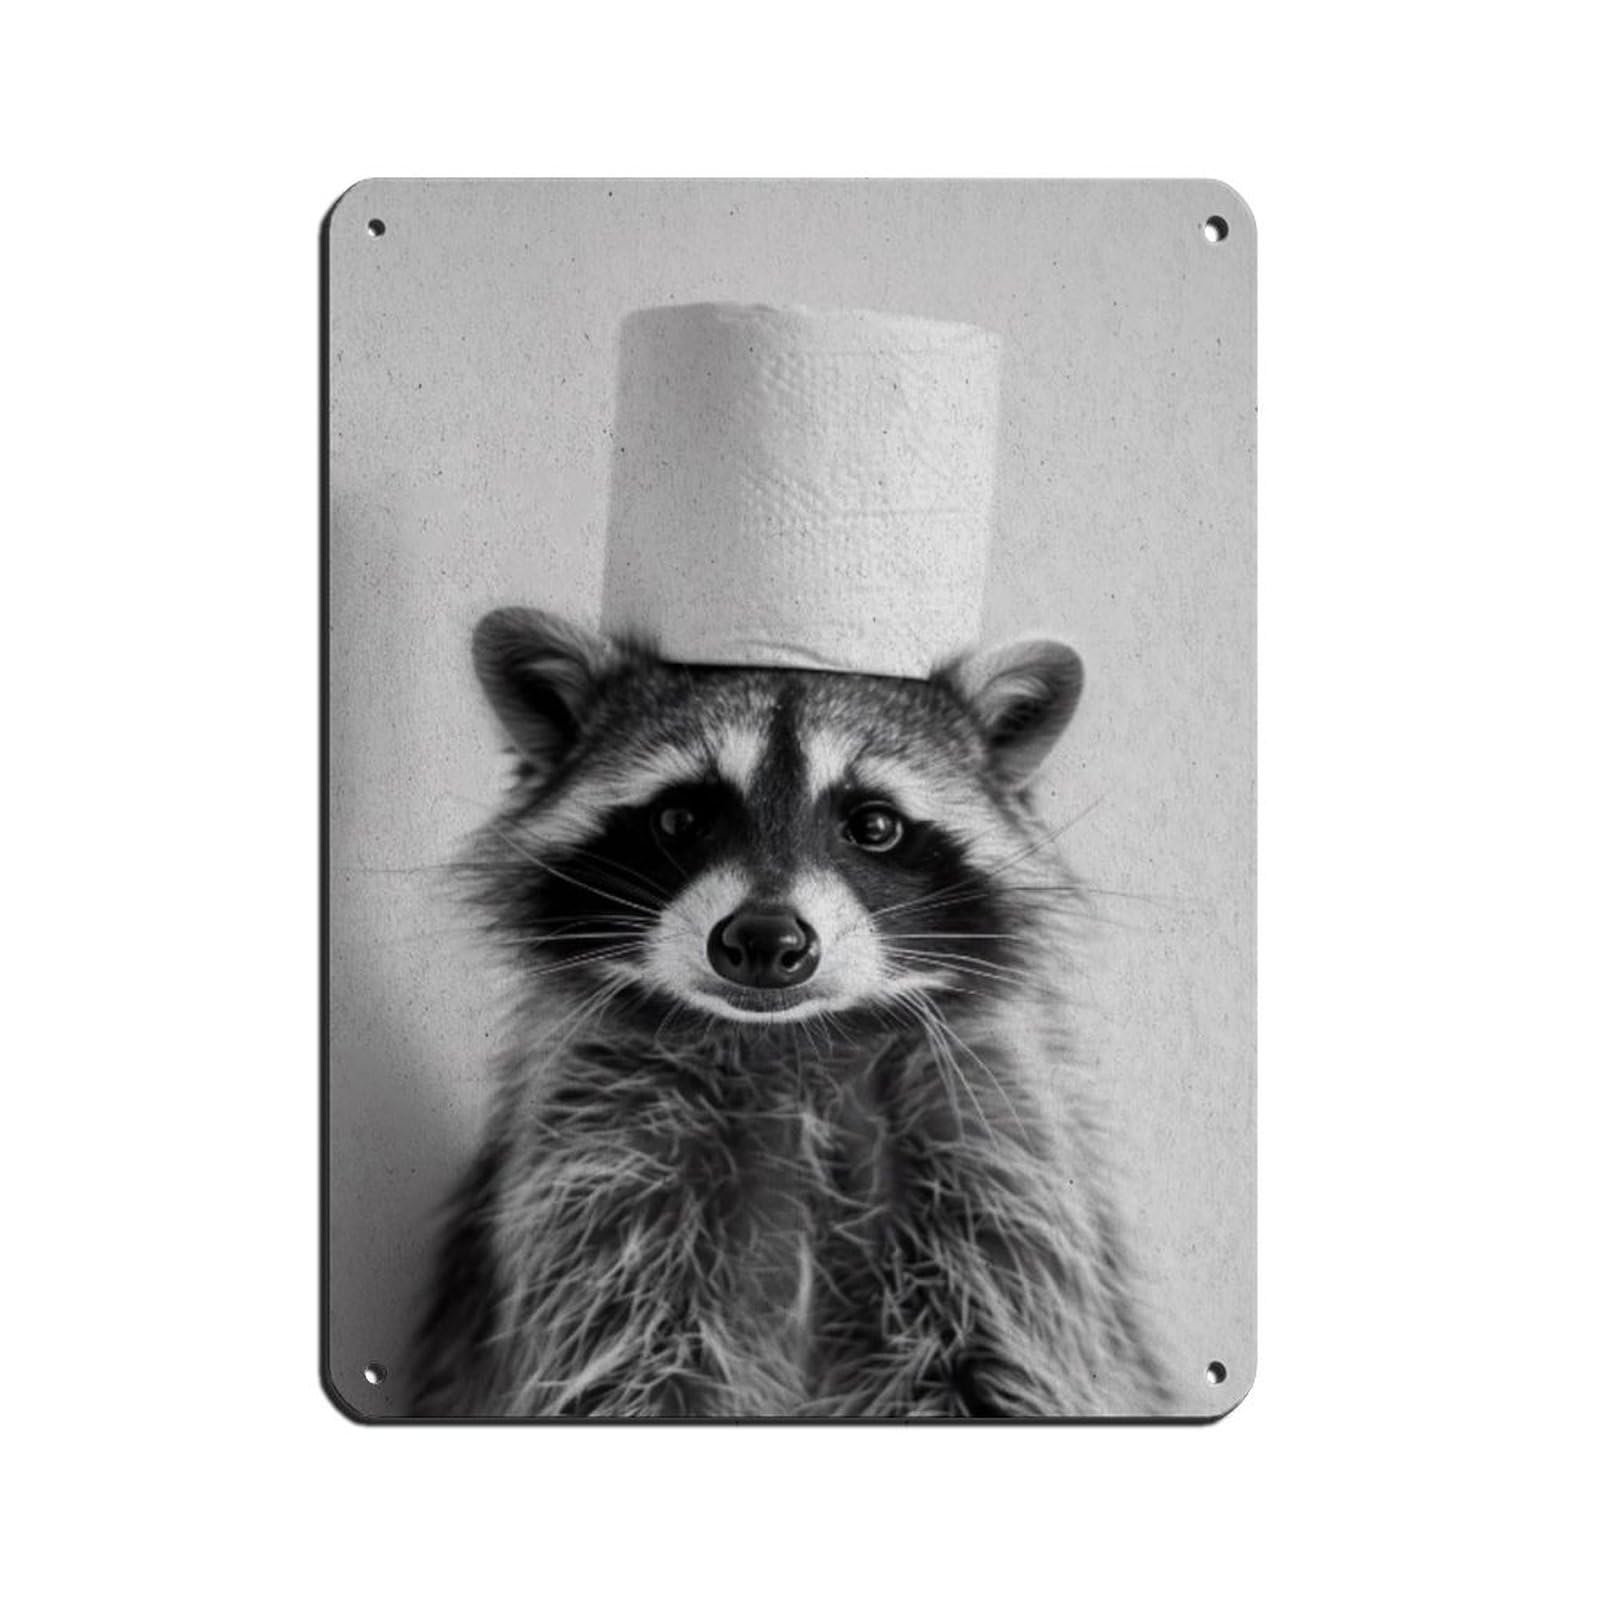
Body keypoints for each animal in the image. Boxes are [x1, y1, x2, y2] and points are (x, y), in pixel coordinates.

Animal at [410, 606, 1171, 1417]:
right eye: (680, 818)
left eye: (874, 826)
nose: (764, 940)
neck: (791, 1043)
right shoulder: (598, 1163)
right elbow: (620, 1362)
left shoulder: (996, 1157)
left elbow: (1004, 1362)